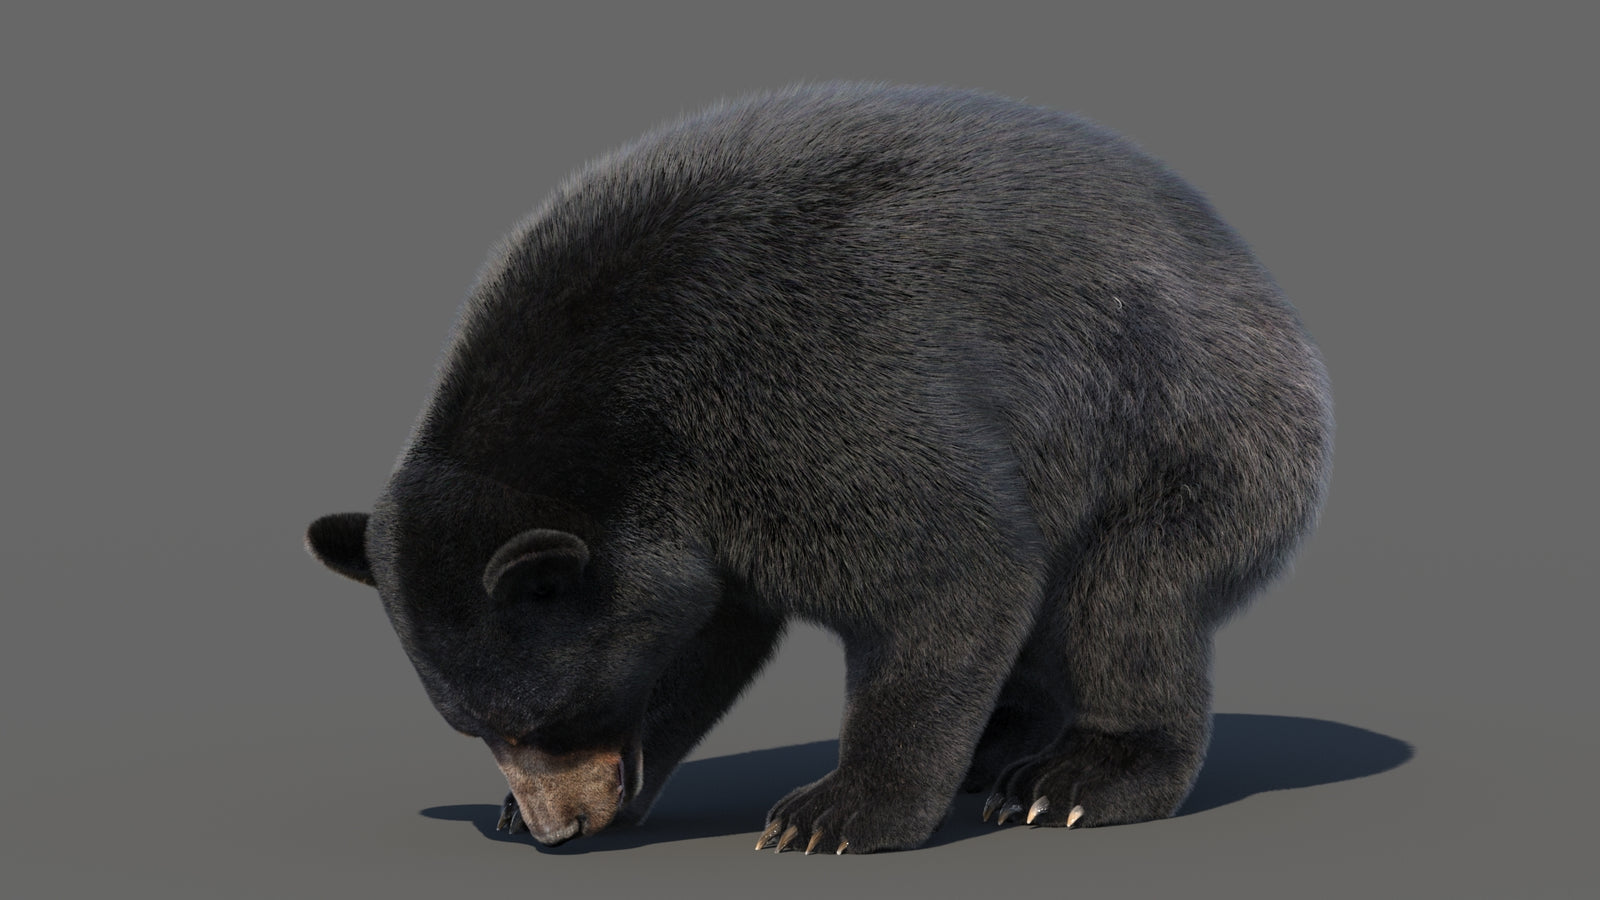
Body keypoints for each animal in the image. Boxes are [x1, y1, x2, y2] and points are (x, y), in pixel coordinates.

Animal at [306, 82, 1332, 854]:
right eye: (476, 726)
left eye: (546, 718)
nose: (560, 827)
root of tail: (1262, 283)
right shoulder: (695, 519)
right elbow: (702, 636)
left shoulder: (803, 390)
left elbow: (953, 566)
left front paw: (834, 813)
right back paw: (1000, 743)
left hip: (1183, 426)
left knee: (1129, 599)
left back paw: (1074, 779)